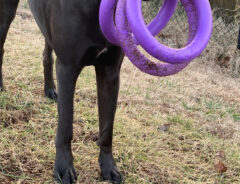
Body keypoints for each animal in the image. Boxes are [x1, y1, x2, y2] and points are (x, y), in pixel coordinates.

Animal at [0, 0, 148, 184]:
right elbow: (66, 126)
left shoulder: (110, 72)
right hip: (6, 13)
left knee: (47, 55)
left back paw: (49, 89)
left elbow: (107, 128)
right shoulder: (67, 69)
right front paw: (64, 167)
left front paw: (108, 166)